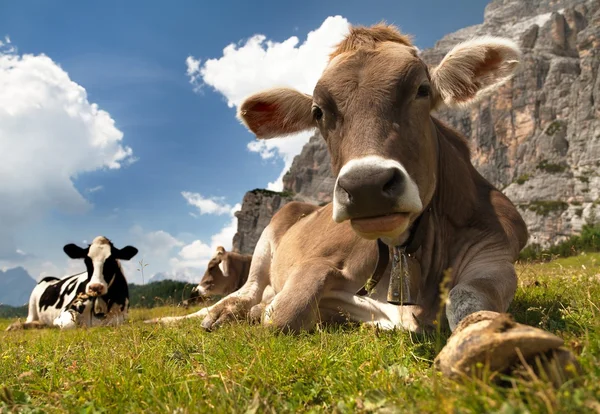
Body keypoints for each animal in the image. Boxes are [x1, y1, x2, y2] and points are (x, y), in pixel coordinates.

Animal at [5, 236, 138, 330]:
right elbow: (68, 324)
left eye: (111, 261)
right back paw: (15, 326)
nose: (95, 287)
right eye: (87, 261)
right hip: (32, 306)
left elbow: (113, 322)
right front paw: (56, 324)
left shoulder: (122, 316)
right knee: (30, 321)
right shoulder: (68, 310)